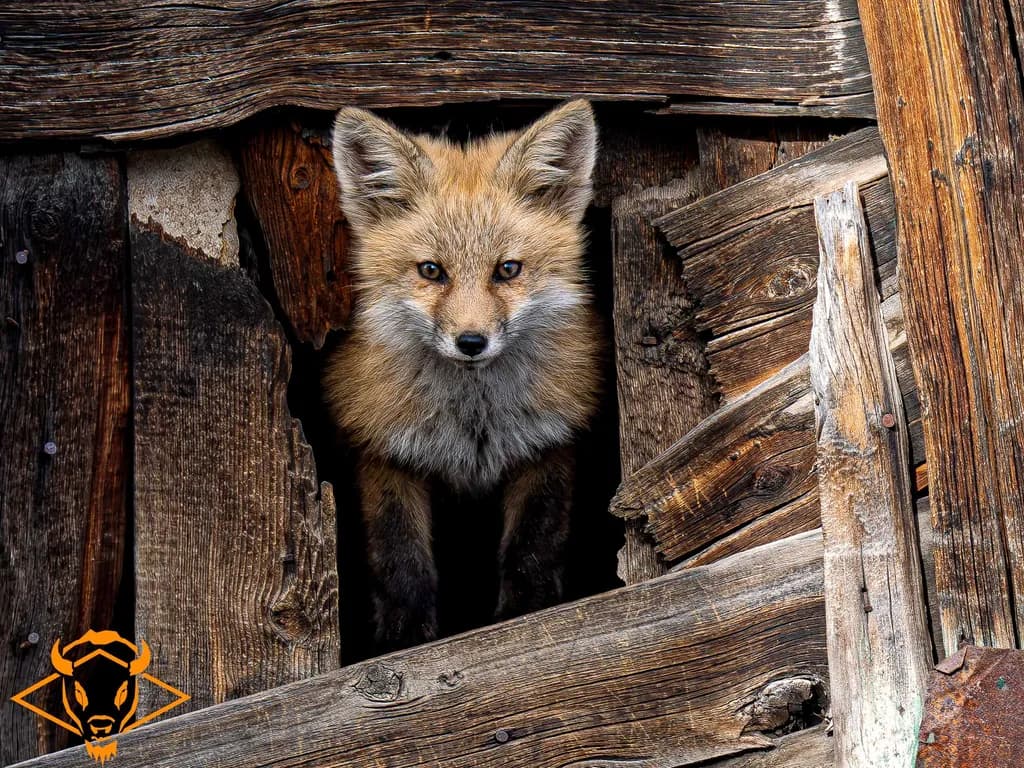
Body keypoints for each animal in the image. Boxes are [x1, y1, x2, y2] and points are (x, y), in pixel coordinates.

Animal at [323, 100, 602, 651]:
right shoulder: (384, 453)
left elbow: (531, 549)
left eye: (508, 269)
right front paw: (404, 641)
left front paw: (527, 617)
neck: (475, 423)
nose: (471, 342)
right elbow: (401, 562)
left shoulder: (549, 444)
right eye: (431, 271)